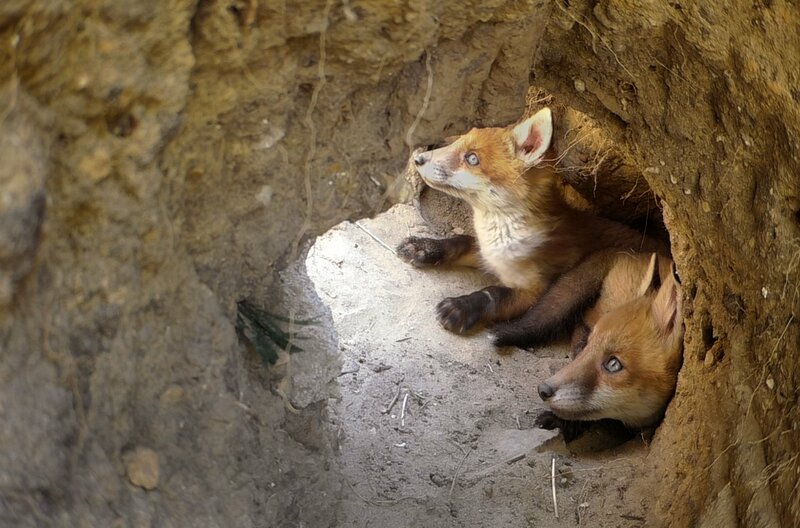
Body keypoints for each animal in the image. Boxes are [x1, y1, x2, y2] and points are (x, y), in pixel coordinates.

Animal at [397, 107, 665, 334]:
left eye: (472, 159)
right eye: (456, 142)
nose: (418, 159)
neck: (503, 234)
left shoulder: (534, 290)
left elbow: (493, 294)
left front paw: (463, 306)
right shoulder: (490, 255)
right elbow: (460, 241)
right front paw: (425, 247)